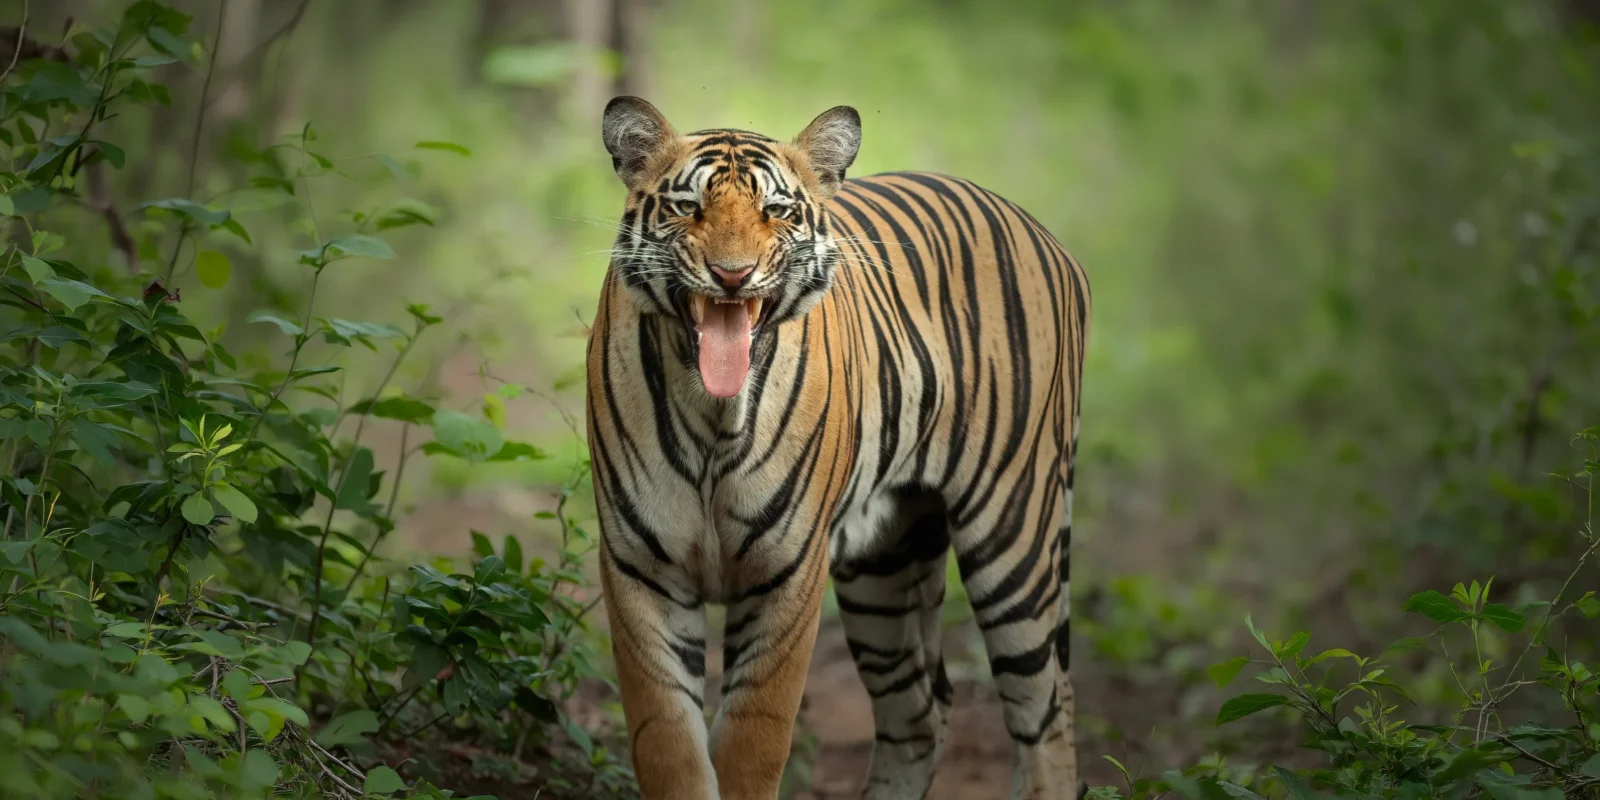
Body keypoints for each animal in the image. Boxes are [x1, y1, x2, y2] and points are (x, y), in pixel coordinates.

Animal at [585, 96, 1090, 800]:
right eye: (689, 208)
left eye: (776, 211)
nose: (732, 276)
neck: (713, 412)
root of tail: (1037, 227)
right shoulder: (641, 569)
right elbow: (668, 745)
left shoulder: (788, 571)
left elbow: (752, 742)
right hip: (887, 560)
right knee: (919, 712)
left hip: (1016, 534)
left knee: (1048, 712)